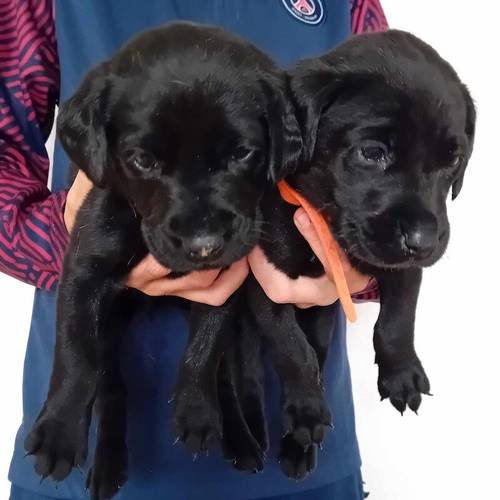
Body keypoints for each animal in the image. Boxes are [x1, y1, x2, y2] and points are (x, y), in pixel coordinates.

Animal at [24, 21, 300, 498]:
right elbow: (76, 354)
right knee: (111, 384)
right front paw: (58, 433)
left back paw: (239, 439)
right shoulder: (83, 268)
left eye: (243, 153)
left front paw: (195, 412)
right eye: (143, 160)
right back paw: (108, 463)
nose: (203, 244)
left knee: (224, 373)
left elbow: (206, 347)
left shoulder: (224, 279)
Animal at [224, 29, 476, 478]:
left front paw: (401, 373)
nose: (424, 242)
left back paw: (296, 448)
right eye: (372, 153)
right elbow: (292, 349)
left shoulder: (400, 266)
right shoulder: (267, 280)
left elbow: (398, 318)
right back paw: (249, 442)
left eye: (454, 161)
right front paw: (307, 410)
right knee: (241, 375)